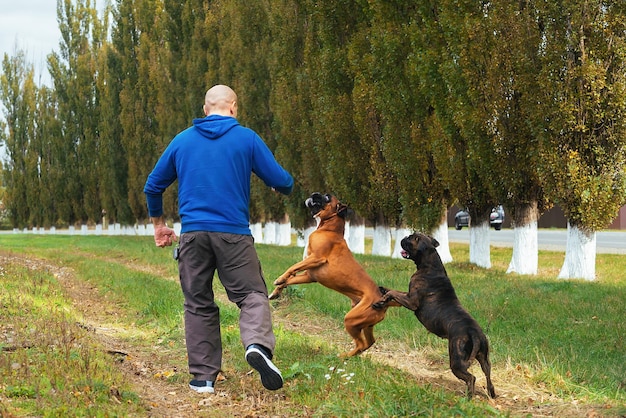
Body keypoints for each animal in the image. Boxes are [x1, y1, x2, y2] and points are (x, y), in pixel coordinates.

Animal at [266, 193, 386, 356]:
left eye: (327, 198)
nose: (314, 194)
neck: (329, 229)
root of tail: (383, 299)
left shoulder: (316, 258)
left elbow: (292, 267)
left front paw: (279, 279)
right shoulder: (309, 275)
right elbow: (289, 280)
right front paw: (275, 292)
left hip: (351, 320)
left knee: (361, 343)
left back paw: (343, 356)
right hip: (366, 324)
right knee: (369, 342)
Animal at [372, 232, 494, 398]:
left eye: (411, 238)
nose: (404, 237)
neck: (430, 266)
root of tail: (474, 333)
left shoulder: (411, 301)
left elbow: (393, 293)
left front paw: (381, 300)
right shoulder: (407, 295)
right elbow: (393, 292)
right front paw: (383, 292)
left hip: (456, 361)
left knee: (471, 378)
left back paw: (468, 397)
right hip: (484, 357)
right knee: (487, 373)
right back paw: (491, 393)